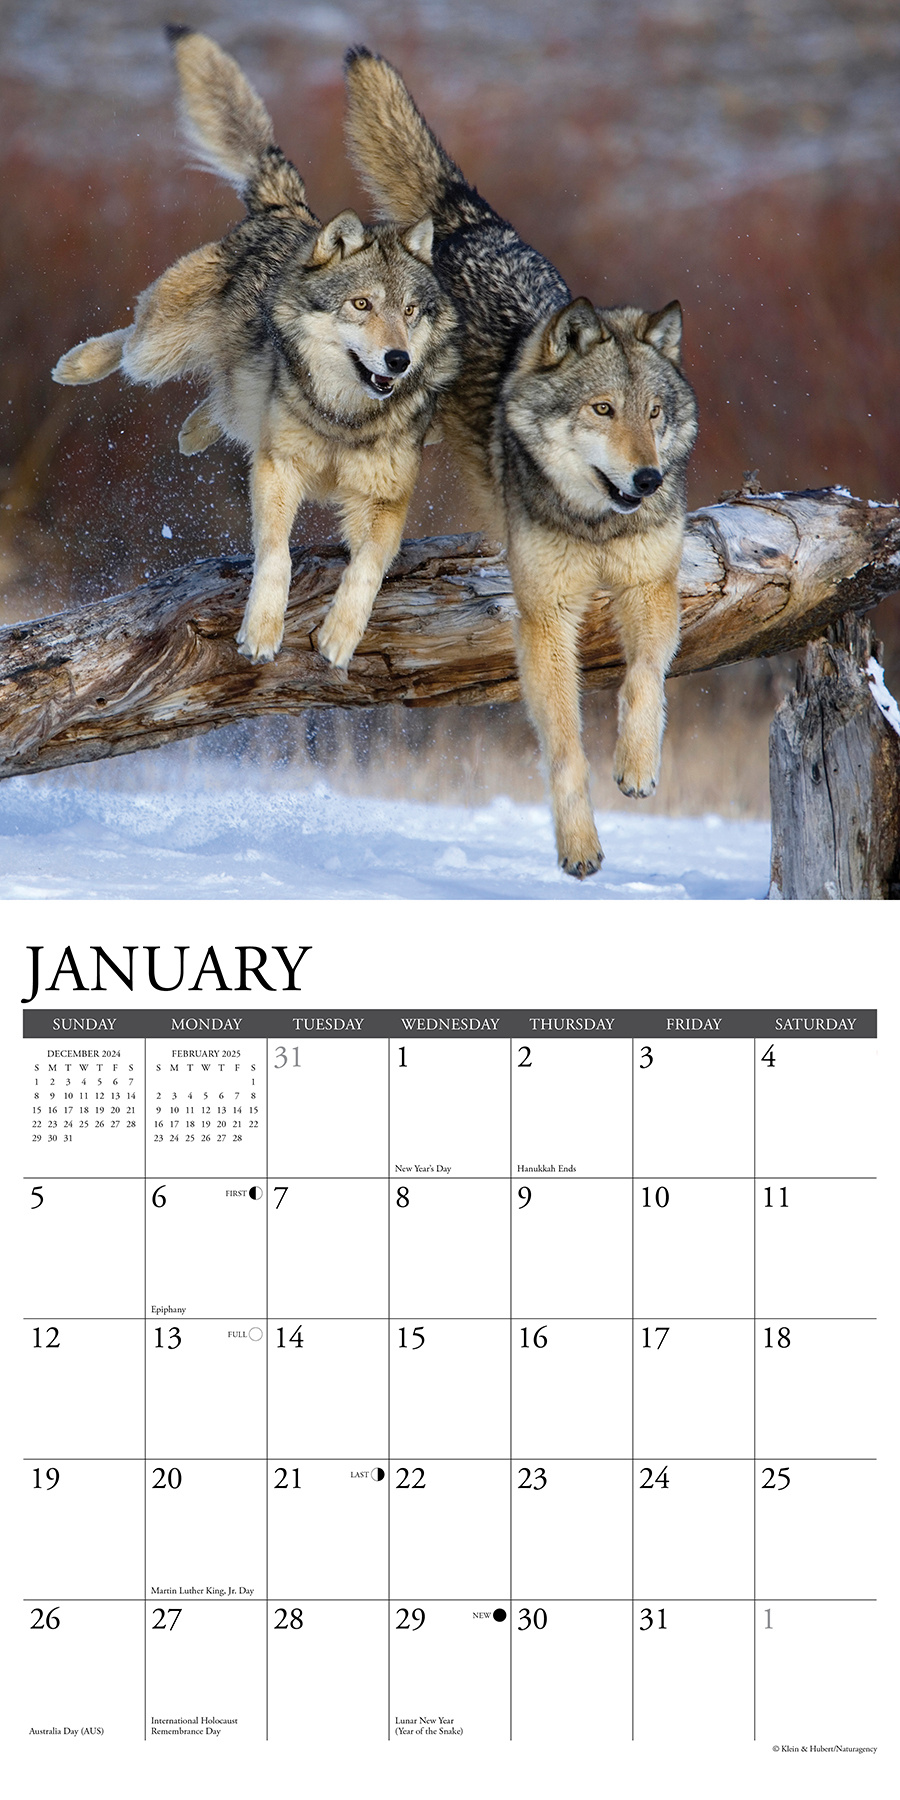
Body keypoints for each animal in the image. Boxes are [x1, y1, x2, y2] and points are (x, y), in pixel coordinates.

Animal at [52, 28, 458, 668]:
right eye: (361, 305)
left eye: (410, 312)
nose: (399, 360)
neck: (341, 418)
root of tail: (288, 211)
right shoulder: (276, 469)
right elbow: (277, 554)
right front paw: (263, 630)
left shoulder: (387, 500)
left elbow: (368, 569)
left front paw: (340, 638)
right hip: (158, 350)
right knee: (128, 344)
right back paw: (76, 366)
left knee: (221, 405)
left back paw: (191, 434)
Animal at [344, 48, 698, 876]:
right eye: (602, 411)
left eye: (653, 414)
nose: (648, 480)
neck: (596, 523)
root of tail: (469, 220)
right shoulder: (546, 617)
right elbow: (564, 747)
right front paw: (579, 846)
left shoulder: (651, 583)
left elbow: (645, 677)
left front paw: (637, 765)